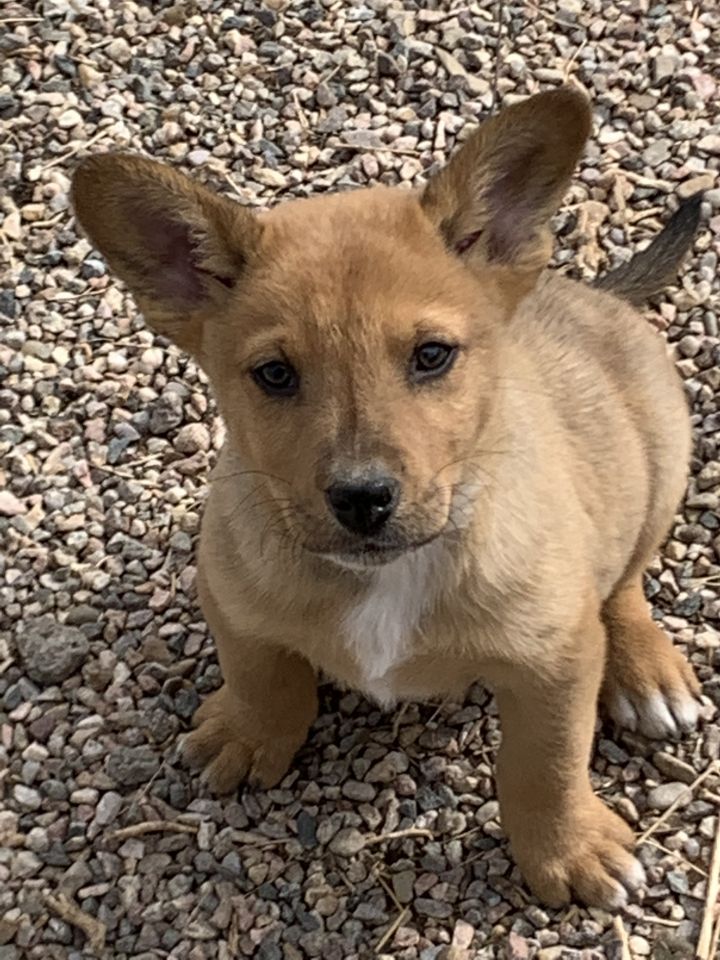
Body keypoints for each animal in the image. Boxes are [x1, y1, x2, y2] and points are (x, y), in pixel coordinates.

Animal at [73, 88, 704, 908]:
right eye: (274, 375)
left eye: (431, 355)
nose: (362, 498)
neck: (387, 574)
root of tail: (588, 292)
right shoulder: (229, 594)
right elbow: (261, 673)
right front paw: (249, 734)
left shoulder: (555, 660)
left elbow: (546, 764)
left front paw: (568, 851)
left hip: (662, 458)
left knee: (624, 581)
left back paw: (647, 672)